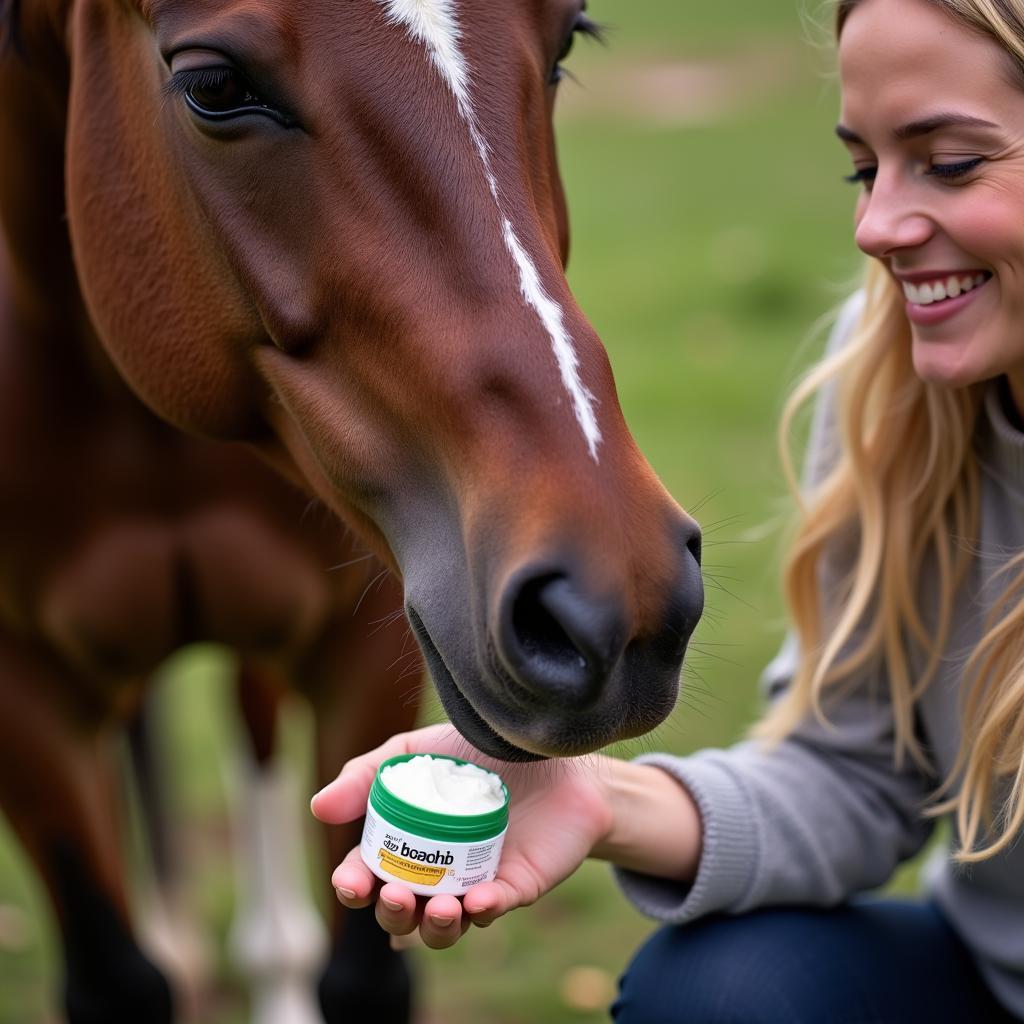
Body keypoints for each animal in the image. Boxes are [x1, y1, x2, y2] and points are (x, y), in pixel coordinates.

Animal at [0, 0, 704, 1019]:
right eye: (213, 84)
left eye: (569, 36)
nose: (620, 606)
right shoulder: (25, 700)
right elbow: (117, 980)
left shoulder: (365, 647)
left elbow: (363, 971)